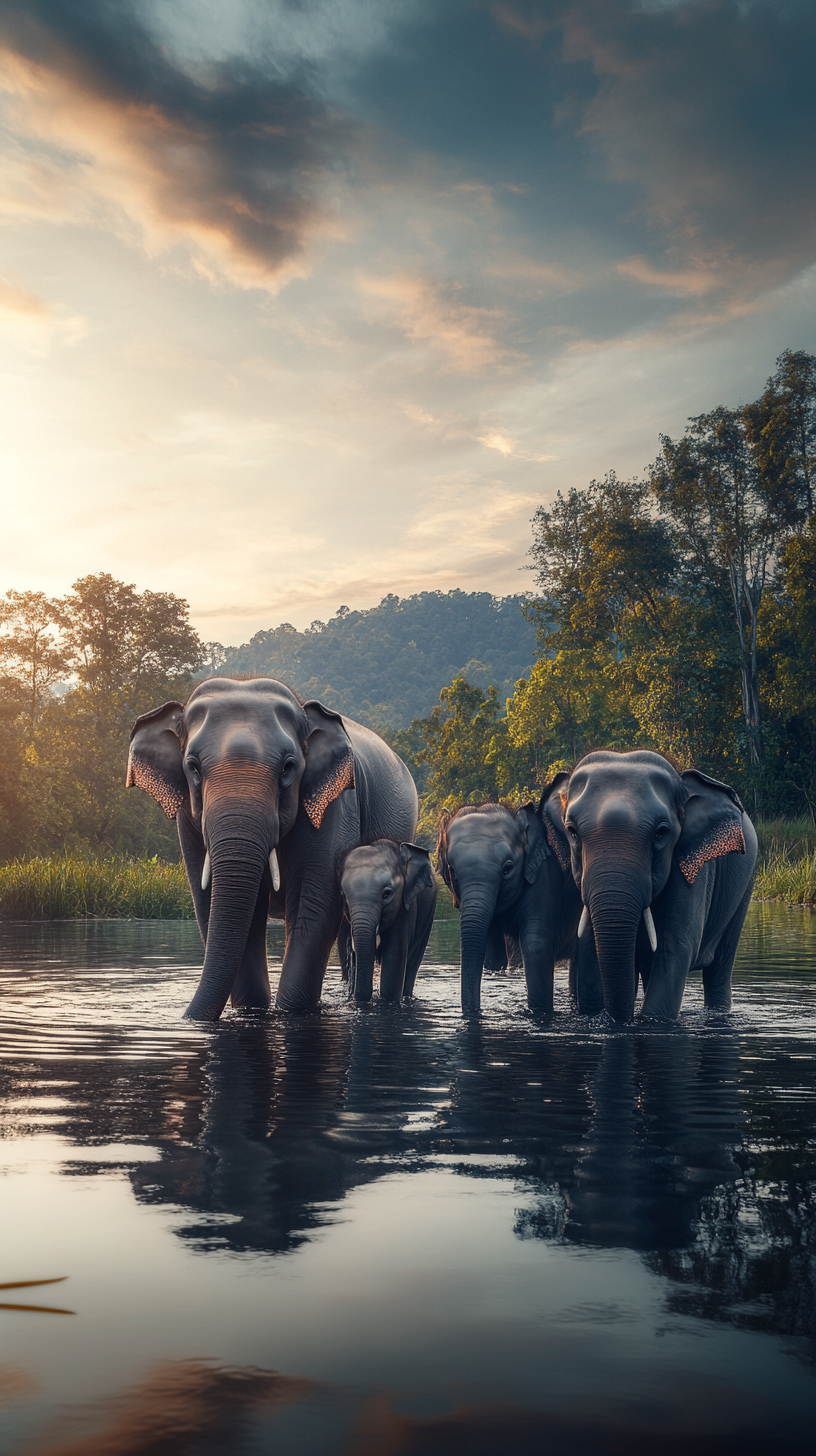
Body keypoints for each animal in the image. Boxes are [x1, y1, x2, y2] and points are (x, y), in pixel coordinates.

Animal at [128, 675, 419, 1019]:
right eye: (193, 767)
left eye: (288, 767)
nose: (185, 1017)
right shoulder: (188, 818)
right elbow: (211, 903)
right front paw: (252, 1010)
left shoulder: (336, 803)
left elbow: (315, 903)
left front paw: (290, 1012)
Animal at [440, 774, 579, 1013]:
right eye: (452, 871)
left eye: (507, 869)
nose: (477, 1011)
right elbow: (492, 957)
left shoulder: (543, 877)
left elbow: (536, 947)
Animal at [559, 751, 757, 1025]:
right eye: (572, 831)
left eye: (661, 833)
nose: (622, 1022)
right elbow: (590, 946)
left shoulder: (692, 869)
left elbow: (675, 949)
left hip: (744, 888)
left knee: (719, 970)